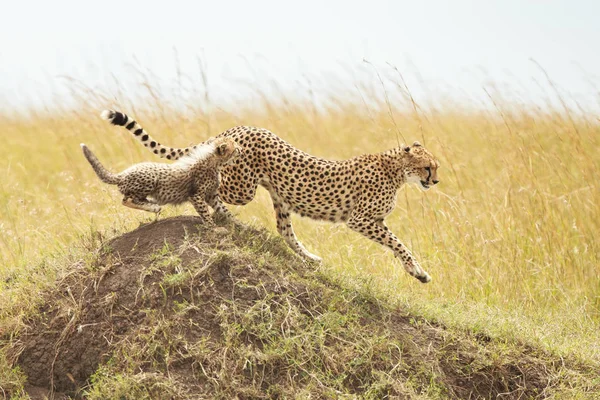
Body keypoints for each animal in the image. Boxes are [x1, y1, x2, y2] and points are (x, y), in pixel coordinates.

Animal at [102, 111, 440, 282]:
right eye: (428, 166)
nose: (435, 180)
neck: (396, 169)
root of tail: (235, 129)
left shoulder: (372, 220)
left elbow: (395, 242)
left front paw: (417, 271)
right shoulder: (361, 219)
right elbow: (399, 243)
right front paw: (418, 271)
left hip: (278, 197)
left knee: (284, 231)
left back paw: (308, 257)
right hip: (243, 187)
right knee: (209, 186)